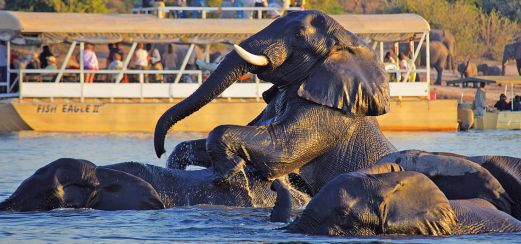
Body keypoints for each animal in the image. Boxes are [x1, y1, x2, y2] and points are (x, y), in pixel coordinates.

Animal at [154, 9, 394, 193]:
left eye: (299, 35)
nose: (160, 151)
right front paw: (175, 166)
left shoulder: (330, 115)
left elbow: (280, 150)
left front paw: (229, 172)